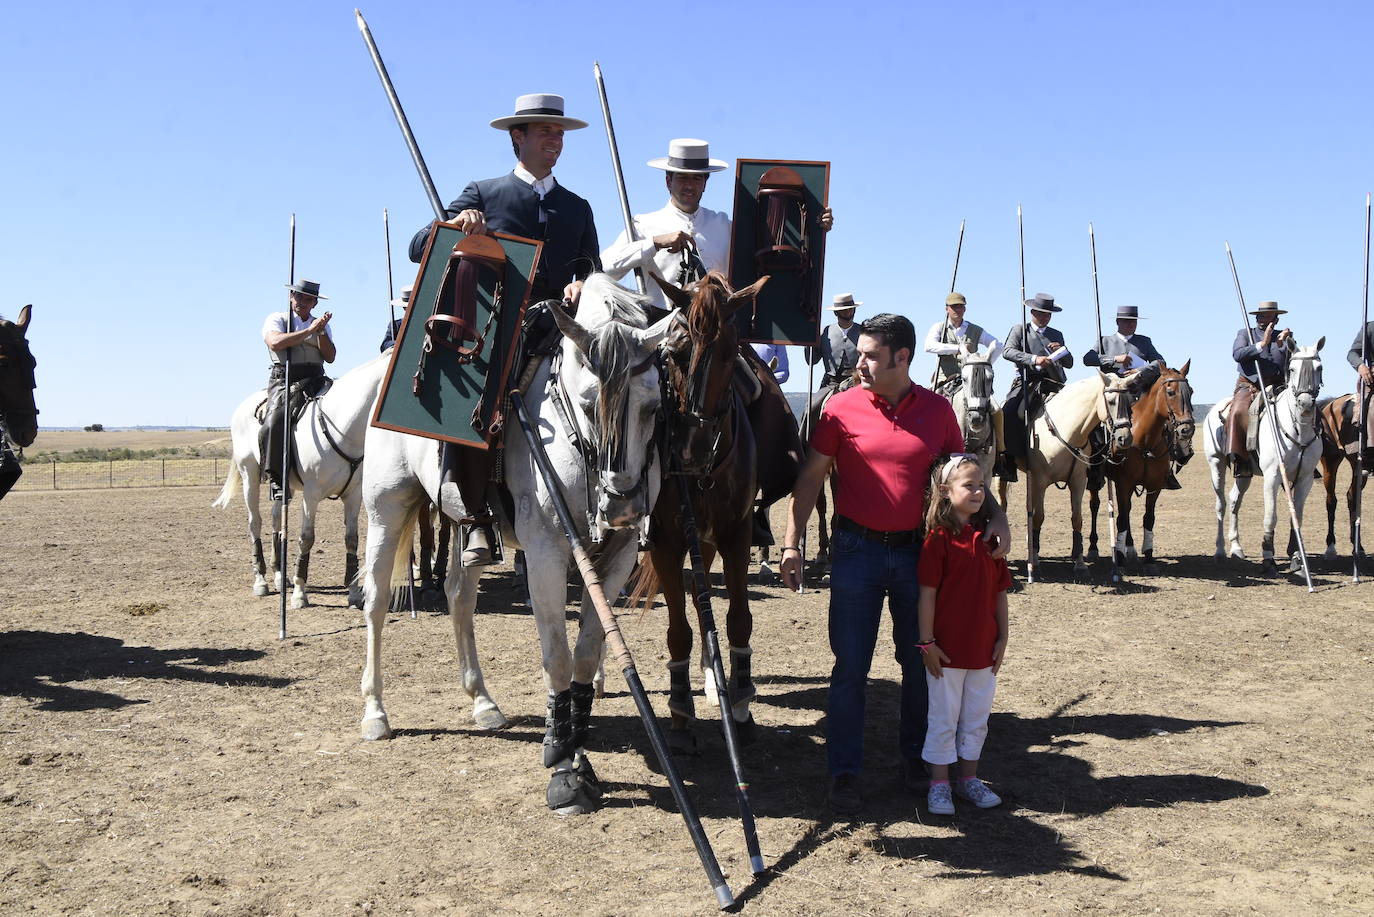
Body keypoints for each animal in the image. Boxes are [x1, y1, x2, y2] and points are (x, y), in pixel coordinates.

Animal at [214, 354, 390, 604]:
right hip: (250, 475)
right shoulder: (311, 494)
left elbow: (352, 539)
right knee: (255, 523)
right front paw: (299, 592)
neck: (342, 428)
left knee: (276, 521)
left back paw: (280, 576)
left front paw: (354, 592)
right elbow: (306, 537)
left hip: (282, 486)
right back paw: (261, 581)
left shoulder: (353, 495)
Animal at [357, 274, 673, 819]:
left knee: (460, 598)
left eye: (652, 406)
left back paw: (483, 702)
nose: (622, 507)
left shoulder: (616, 556)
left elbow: (587, 654)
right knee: (377, 604)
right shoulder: (546, 550)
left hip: (463, 523)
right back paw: (376, 713)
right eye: (587, 403)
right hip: (387, 509)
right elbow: (558, 657)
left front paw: (577, 754)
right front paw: (563, 769)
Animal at [1082, 362, 1192, 569]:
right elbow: (1121, 519)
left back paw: (1130, 547)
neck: (1145, 441)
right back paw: (1093, 548)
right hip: (1095, 480)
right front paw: (1119, 556)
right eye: (1170, 392)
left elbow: (1148, 518)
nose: (1186, 429)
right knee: (1095, 505)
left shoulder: (1154, 486)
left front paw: (1147, 554)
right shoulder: (1123, 484)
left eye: (1191, 391)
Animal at [1209, 340, 1324, 574]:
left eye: (1319, 368)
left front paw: (1296, 557)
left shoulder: (1305, 478)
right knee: (1221, 504)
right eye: (1292, 369)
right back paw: (1220, 552)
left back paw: (1236, 547)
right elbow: (1271, 516)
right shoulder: (1273, 476)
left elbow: (1296, 516)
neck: (1298, 428)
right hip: (1216, 463)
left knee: (1234, 500)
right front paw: (1268, 557)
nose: (1306, 403)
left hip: (1244, 472)